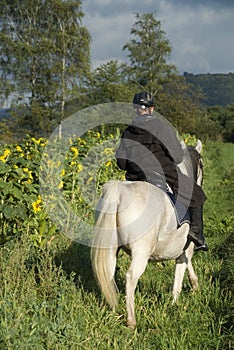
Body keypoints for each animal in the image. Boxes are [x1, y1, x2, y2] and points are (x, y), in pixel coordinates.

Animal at [91, 139, 203, 328]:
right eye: (202, 164)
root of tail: (119, 192)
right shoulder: (185, 249)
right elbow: (179, 276)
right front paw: (175, 303)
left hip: (111, 248)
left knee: (109, 273)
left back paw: (113, 309)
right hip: (141, 252)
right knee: (131, 277)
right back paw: (131, 321)